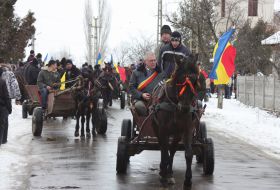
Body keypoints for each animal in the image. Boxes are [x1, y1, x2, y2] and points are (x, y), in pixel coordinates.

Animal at [151, 53, 199, 189]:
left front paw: (187, 180)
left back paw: (169, 173)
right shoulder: (162, 130)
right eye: (180, 80)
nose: (185, 108)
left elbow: (188, 154)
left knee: (172, 150)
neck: (175, 105)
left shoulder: (187, 129)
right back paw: (164, 171)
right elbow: (164, 151)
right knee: (164, 149)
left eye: (195, 81)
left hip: (177, 134)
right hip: (156, 127)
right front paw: (163, 174)